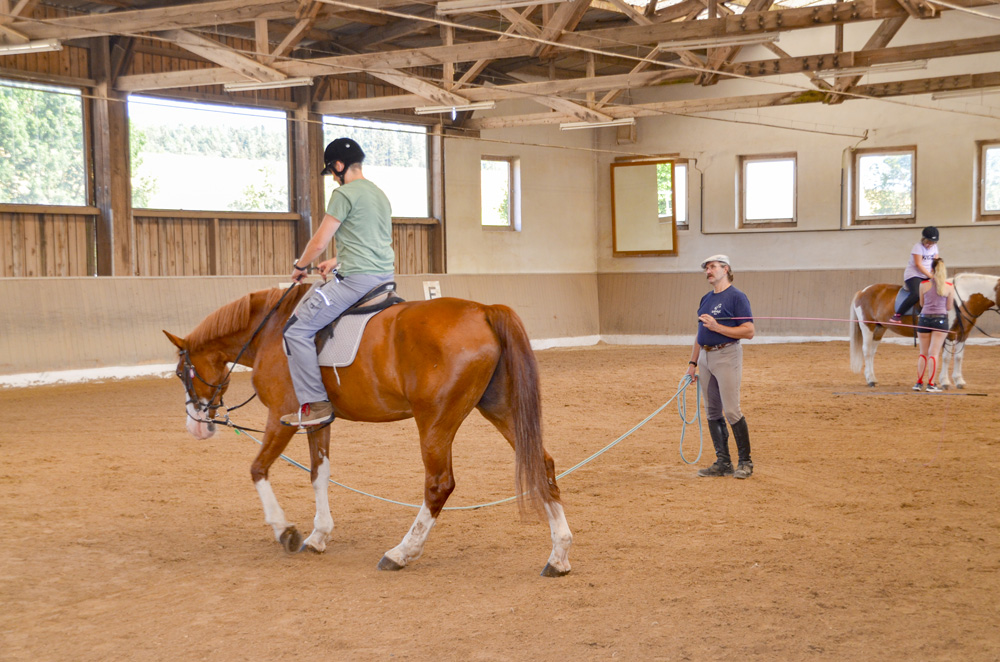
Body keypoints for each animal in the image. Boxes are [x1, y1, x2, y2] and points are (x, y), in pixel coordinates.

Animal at [162, 288, 572, 580]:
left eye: (182, 373)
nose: (194, 425)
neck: (270, 332)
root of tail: (484, 309)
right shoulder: (316, 421)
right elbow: (319, 474)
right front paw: (319, 536)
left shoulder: (280, 416)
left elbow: (258, 470)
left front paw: (285, 531)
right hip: (500, 409)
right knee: (542, 466)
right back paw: (559, 555)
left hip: (435, 421)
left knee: (439, 484)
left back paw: (400, 553)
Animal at [852, 274, 1000, 390]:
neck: (959, 300)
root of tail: (862, 291)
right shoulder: (949, 334)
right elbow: (946, 357)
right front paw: (945, 382)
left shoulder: (963, 334)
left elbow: (958, 357)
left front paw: (959, 381)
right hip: (868, 327)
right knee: (867, 351)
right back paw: (870, 380)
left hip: (880, 328)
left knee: (872, 353)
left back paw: (873, 378)